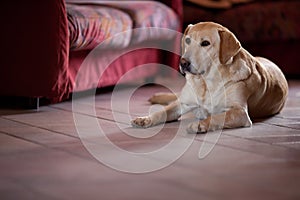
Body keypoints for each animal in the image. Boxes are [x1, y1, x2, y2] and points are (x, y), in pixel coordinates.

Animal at [131, 21, 288, 134]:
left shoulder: (240, 112)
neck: (205, 83)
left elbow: (217, 117)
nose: (183, 63)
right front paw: (145, 119)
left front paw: (200, 125)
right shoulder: (183, 103)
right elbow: (162, 111)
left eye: (205, 43)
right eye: (187, 41)